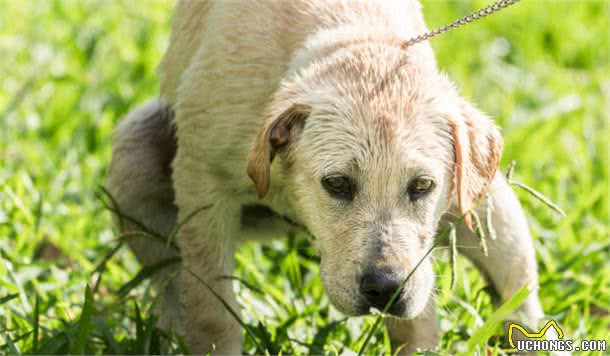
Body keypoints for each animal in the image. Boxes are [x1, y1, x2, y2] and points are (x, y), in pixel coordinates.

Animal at [104, 0, 540, 354]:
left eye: (422, 186)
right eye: (336, 184)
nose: (385, 289)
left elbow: (415, 323)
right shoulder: (204, 186)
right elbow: (210, 309)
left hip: (489, 206)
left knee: (518, 292)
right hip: (133, 158)